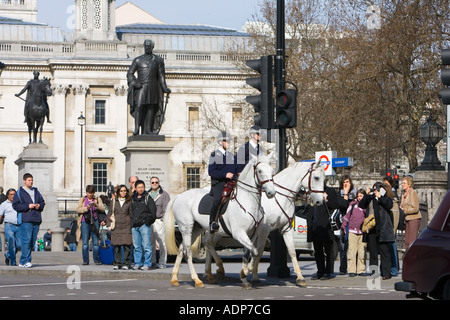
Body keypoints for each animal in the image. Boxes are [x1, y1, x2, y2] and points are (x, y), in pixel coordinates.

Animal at [164, 156, 274, 288]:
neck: (247, 202)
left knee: (182, 248)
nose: (271, 192)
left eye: (272, 171)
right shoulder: (239, 233)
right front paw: (244, 273)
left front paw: (245, 278)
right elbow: (256, 252)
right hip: (186, 227)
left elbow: (250, 254)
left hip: (196, 228)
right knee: (188, 251)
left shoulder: (252, 235)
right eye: (260, 171)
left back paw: (174, 278)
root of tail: (179, 196)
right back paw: (197, 280)